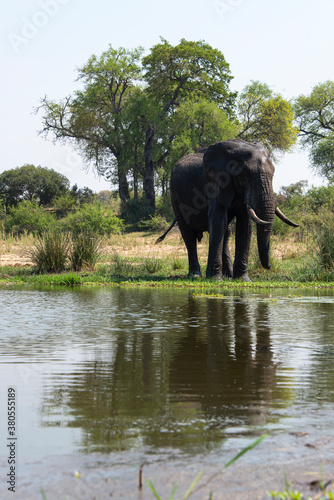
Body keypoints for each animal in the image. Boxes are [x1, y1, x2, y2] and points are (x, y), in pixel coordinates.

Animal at [158, 139, 298, 282]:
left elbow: (245, 225)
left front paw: (243, 280)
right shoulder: (214, 182)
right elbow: (218, 220)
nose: (269, 266)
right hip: (174, 195)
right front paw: (215, 279)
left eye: (273, 173)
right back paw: (195, 275)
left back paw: (228, 275)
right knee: (188, 233)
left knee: (226, 232)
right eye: (245, 174)